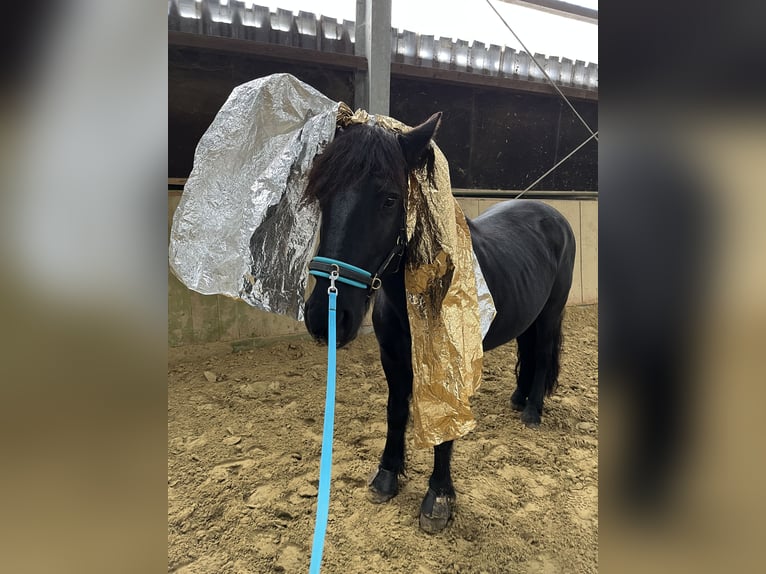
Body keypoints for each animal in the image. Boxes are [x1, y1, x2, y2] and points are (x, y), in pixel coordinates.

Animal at [303, 113, 576, 533]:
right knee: (527, 352)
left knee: (543, 355)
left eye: (389, 199)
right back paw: (518, 400)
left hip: (550, 314)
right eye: (321, 194)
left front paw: (439, 498)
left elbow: (446, 424)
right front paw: (386, 476)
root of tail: (555, 217)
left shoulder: (451, 364)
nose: (324, 318)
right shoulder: (393, 357)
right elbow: (395, 410)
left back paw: (532, 413)